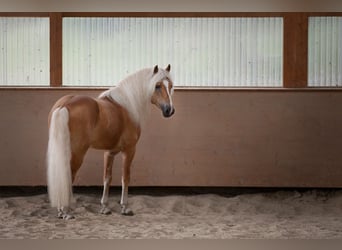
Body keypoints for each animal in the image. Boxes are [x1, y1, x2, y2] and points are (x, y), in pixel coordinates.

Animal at [46, 65, 175, 220]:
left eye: (170, 86)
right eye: (157, 86)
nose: (169, 110)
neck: (127, 106)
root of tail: (64, 105)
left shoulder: (109, 152)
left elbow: (107, 178)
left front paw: (105, 207)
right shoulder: (129, 150)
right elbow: (125, 178)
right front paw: (125, 207)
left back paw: (61, 210)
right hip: (77, 154)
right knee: (67, 176)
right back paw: (65, 211)